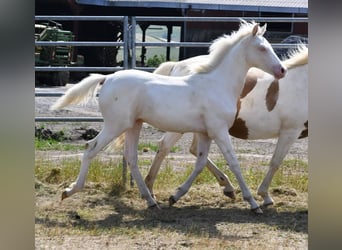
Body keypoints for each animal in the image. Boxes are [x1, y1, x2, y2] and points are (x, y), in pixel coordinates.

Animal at [50, 21, 286, 213]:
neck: (217, 84)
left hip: (134, 125)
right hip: (115, 125)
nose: (282, 70)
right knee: (91, 148)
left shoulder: (205, 132)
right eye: (262, 48)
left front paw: (177, 195)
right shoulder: (219, 130)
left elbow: (200, 162)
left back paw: (150, 200)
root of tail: (107, 78)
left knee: (131, 158)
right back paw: (70, 190)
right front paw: (253, 203)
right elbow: (233, 162)